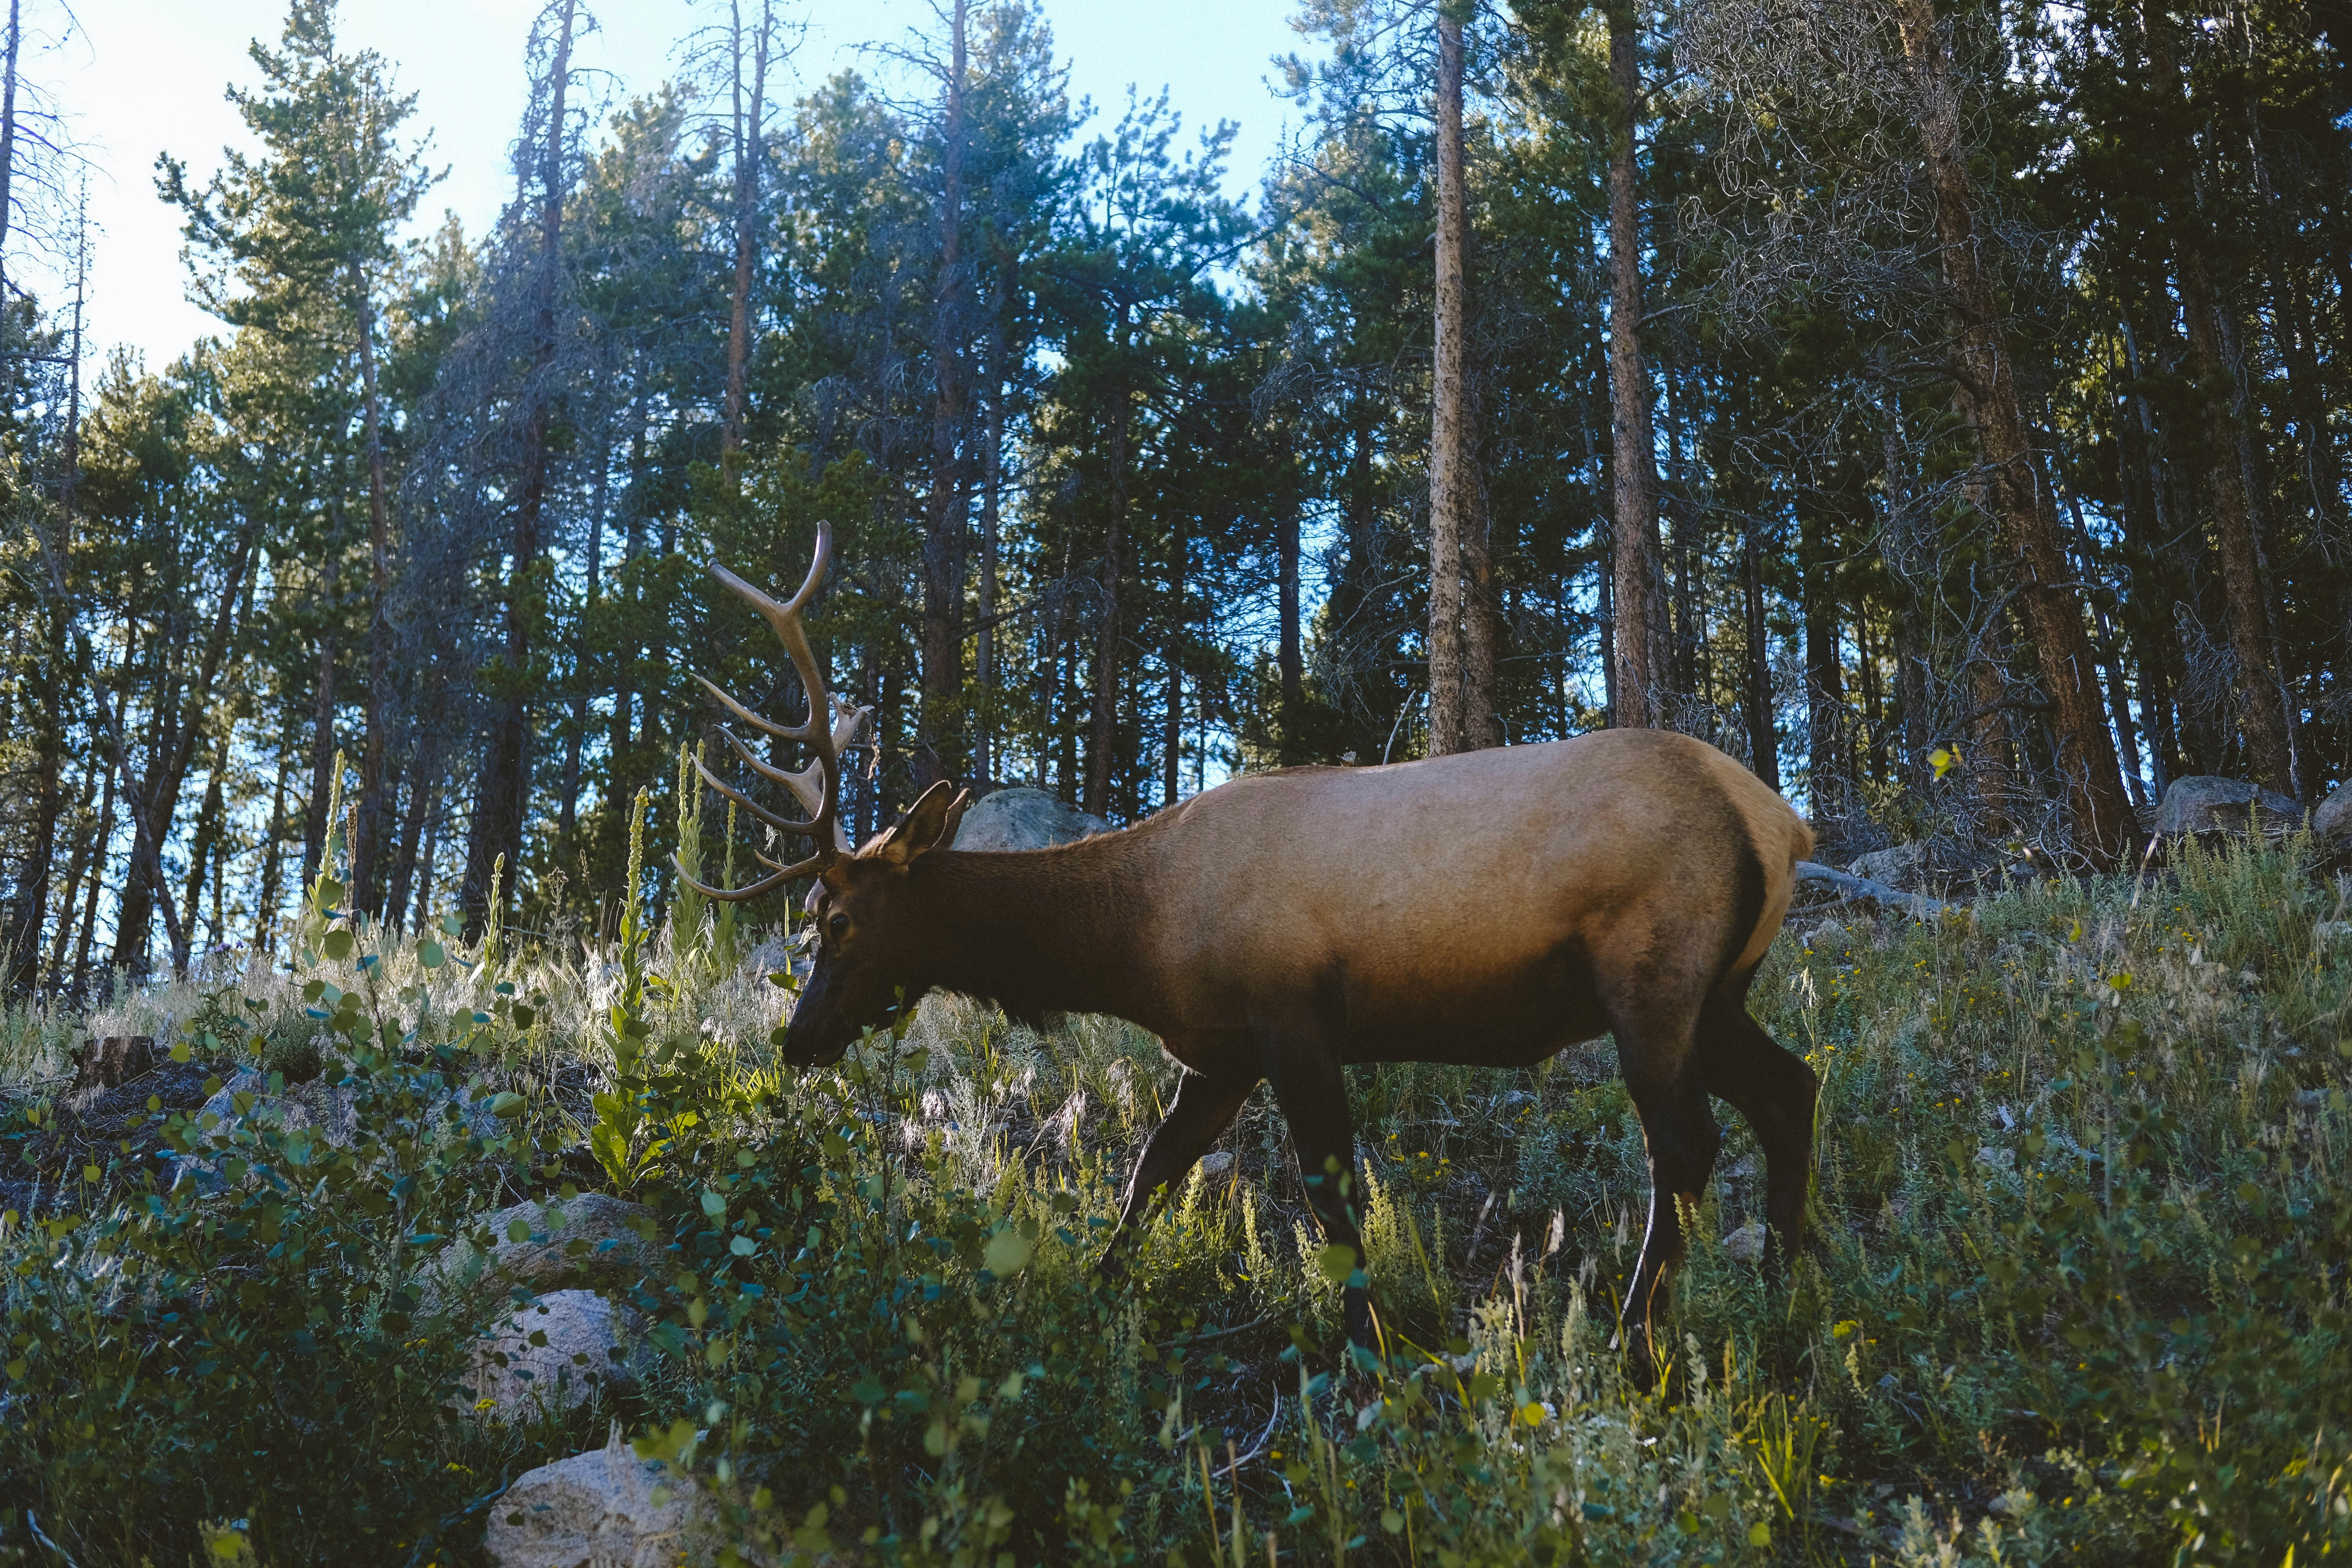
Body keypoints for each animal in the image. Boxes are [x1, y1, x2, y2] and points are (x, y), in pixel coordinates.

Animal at [682, 526, 1819, 1374]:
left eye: (835, 920)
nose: (797, 1040)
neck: (1135, 941)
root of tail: (1780, 821)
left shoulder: (1293, 1017)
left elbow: (1328, 1194)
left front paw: (1369, 1347)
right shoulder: (1217, 1049)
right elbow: (1151, 1172)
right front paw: (1097, 1290)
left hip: (1650, 975)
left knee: (1685, 1141)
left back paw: (1637, 1338)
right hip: (1719, 990)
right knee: (1791, 1088)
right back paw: (1785, 1285)